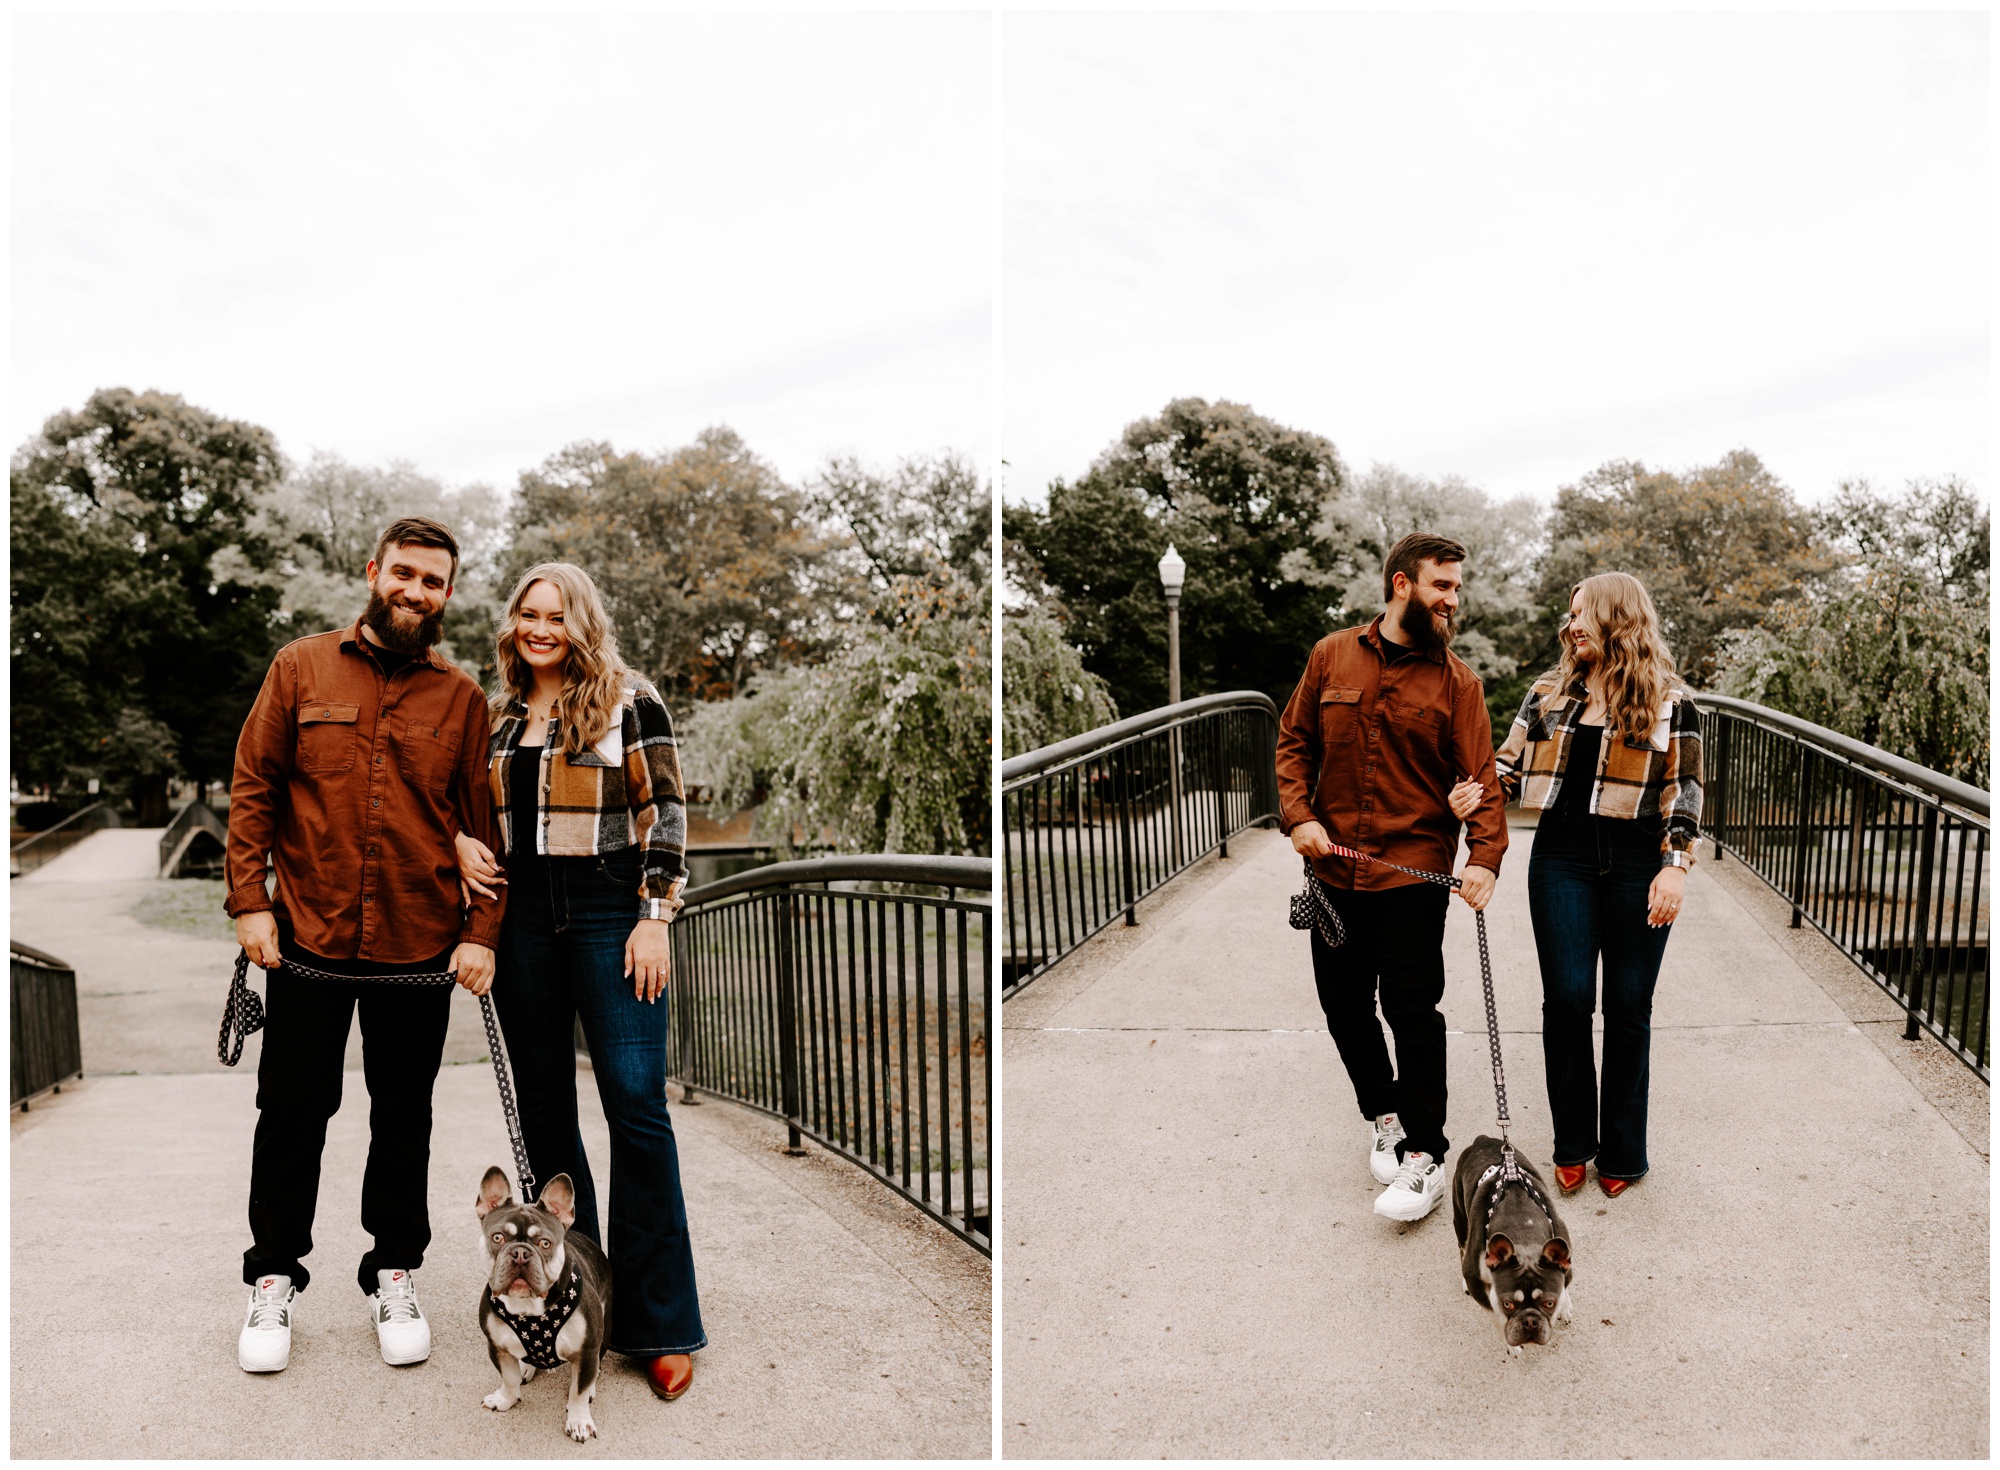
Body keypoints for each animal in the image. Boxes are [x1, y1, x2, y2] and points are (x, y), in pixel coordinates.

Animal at [474, 1168, 608, 1440]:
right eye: (497, 1237)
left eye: (544, 1243)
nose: (520, 1253)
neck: (527, 1307)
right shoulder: (497, 1346)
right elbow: (509, 1377)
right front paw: (506, 1398)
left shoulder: (587, 1348)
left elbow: (578, 1391)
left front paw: (579, 1420)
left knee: (593, 1368)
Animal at [1456, 1136, 1576, 1360]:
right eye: (1508, 1304)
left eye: (1549, 1303)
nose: (1530, 1321)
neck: (1522, 1231)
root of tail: (1482, 1139)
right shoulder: (1475, 1278)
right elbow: (1495, 1316)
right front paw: (1510, 1344)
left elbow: (1564, 1286)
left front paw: (1564, 1306)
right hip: (1460, 1218)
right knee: (1461, 1247)